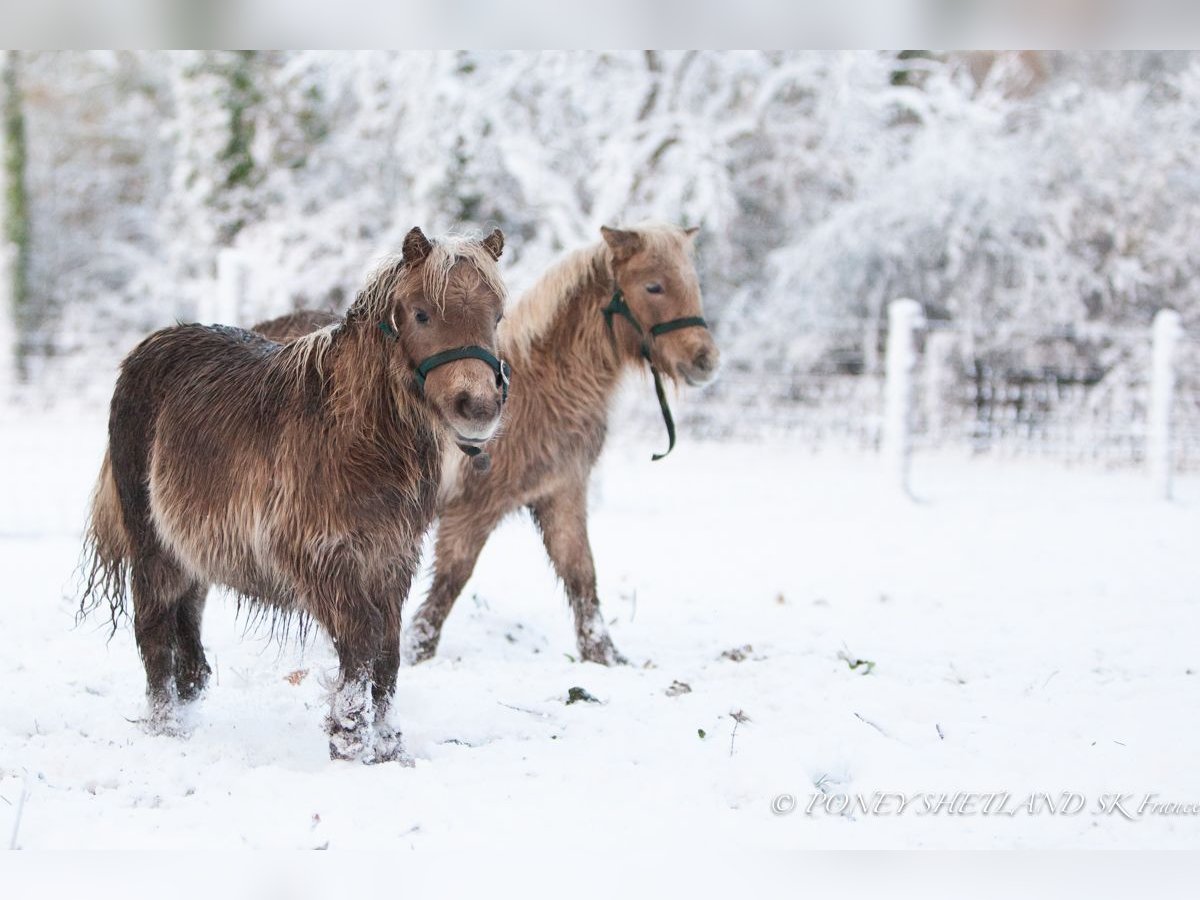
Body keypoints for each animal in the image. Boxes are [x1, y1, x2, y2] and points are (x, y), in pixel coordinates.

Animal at [78, 229, 511, 763]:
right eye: (421, 313)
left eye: (496, 315)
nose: (479, 408)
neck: (354, 435)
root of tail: (151, 347)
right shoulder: (320, 559)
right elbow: (360, 642)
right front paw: (349, 739)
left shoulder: (391, 560)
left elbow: (387, 654)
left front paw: (389, 748)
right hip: (153, 550)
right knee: (155, 635)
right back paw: (167, 729)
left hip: (191, 552)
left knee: (189, 643)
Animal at [256, 223, 715, 667]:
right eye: (653, 286)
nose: (705, 360)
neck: (543, 386)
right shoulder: (472, 510)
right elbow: (450, 580)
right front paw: (418, 650)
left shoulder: (561, 494)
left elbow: (581, 573)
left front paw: (604, 656)